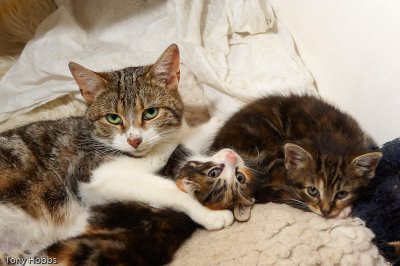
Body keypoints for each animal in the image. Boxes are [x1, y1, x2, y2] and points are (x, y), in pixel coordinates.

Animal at [0, 44, 233, 256]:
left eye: (151, 112)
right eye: (113, 118)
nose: (134, 140)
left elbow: (189, 139)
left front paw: (222, 120)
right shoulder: (94, 176)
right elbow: (170, 189)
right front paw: (208, 214)